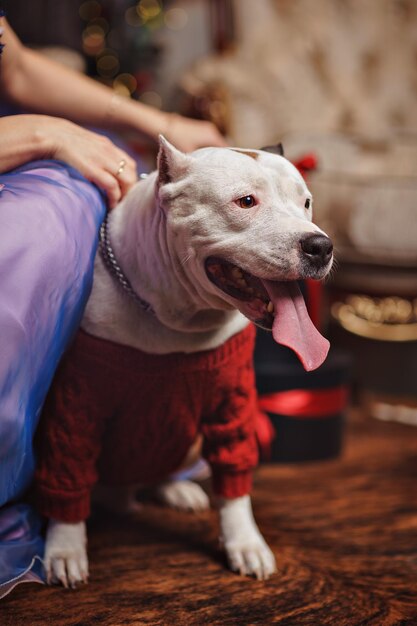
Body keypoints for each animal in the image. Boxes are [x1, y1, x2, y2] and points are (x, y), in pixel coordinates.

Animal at [37, 136, 334, 584]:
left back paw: (177, 489)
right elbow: (67, 477)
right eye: (246, 201)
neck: (179, 318)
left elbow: (233, 483)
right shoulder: (77, 407)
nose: (320, 246)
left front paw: (245, 542)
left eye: (307, 203)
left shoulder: (231, 405)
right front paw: (65, 547)